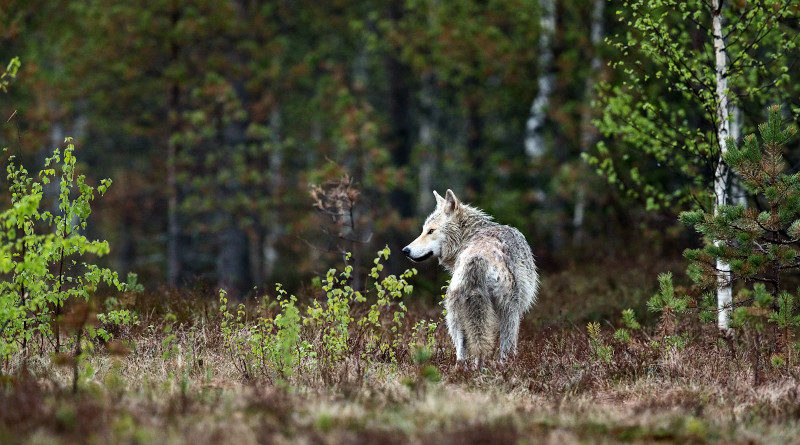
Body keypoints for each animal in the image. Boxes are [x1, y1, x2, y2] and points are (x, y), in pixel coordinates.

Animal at [404, 189, 540, 362]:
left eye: (430, 231)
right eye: (424, 230)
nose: (405, 250)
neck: (468, 235)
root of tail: (477, 259)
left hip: (456, 317)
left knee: (463, 353)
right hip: (508, 313)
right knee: (503, 351)